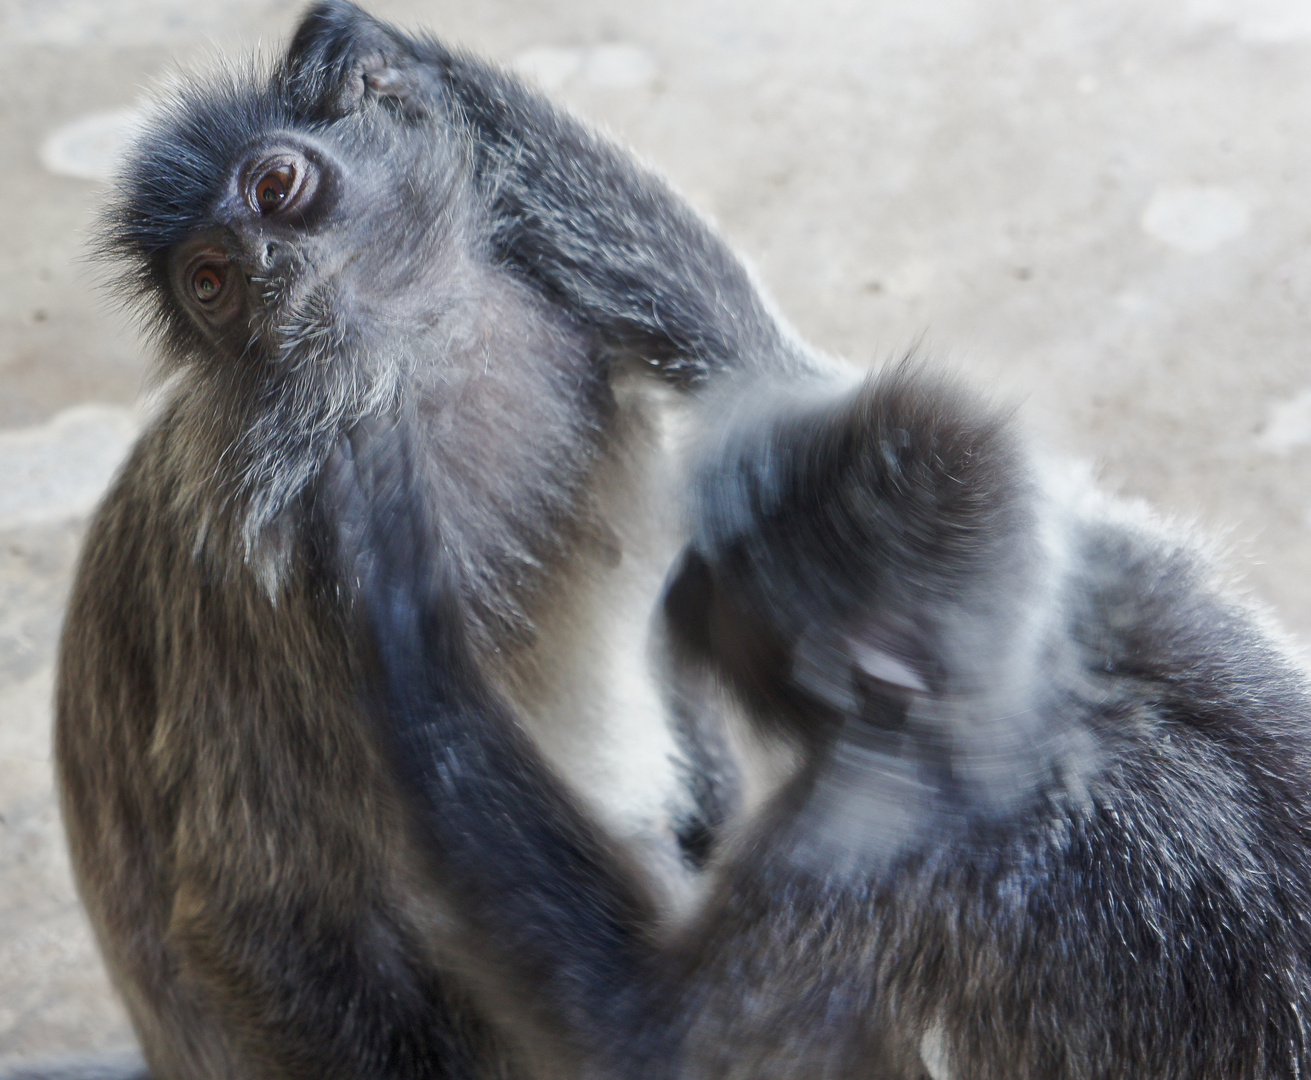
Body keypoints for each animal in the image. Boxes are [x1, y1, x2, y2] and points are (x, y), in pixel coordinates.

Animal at [33, 2, 849, 1080]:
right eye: (208, 284)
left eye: (275, 188)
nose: (257, 270)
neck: (412, 363)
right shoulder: (269, 563)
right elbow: (255, 918)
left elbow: (788, 399)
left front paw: (374, 53)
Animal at [330, 353, 1311, 1080]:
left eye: (724, 582)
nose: (677, 586)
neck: (1046, 687)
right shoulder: (1120, 561)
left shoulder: (859, 842)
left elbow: (643, 1037)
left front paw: (396, 595)